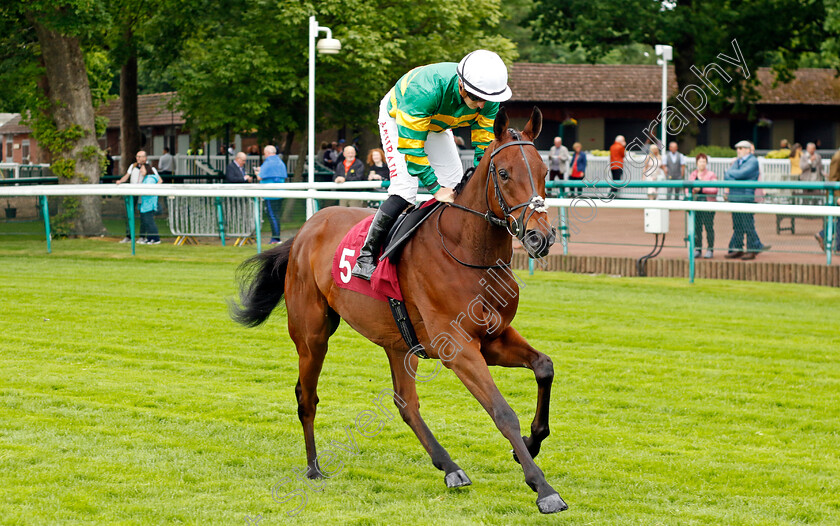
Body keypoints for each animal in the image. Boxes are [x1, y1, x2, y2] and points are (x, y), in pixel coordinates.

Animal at [233, 107, 568, 516]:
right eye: (504, 173)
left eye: (545, 171)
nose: (541, 237)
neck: (468, 252)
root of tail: (304, 231)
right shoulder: (458, 348)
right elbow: (502, 411)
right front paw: (543, 487)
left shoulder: (494, 338)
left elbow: (544, 366)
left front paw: (530, 445)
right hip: (312, 335)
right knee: (306, 397)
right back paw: (313, 468)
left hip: (397, 342)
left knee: (406, 403)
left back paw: (450, 468)